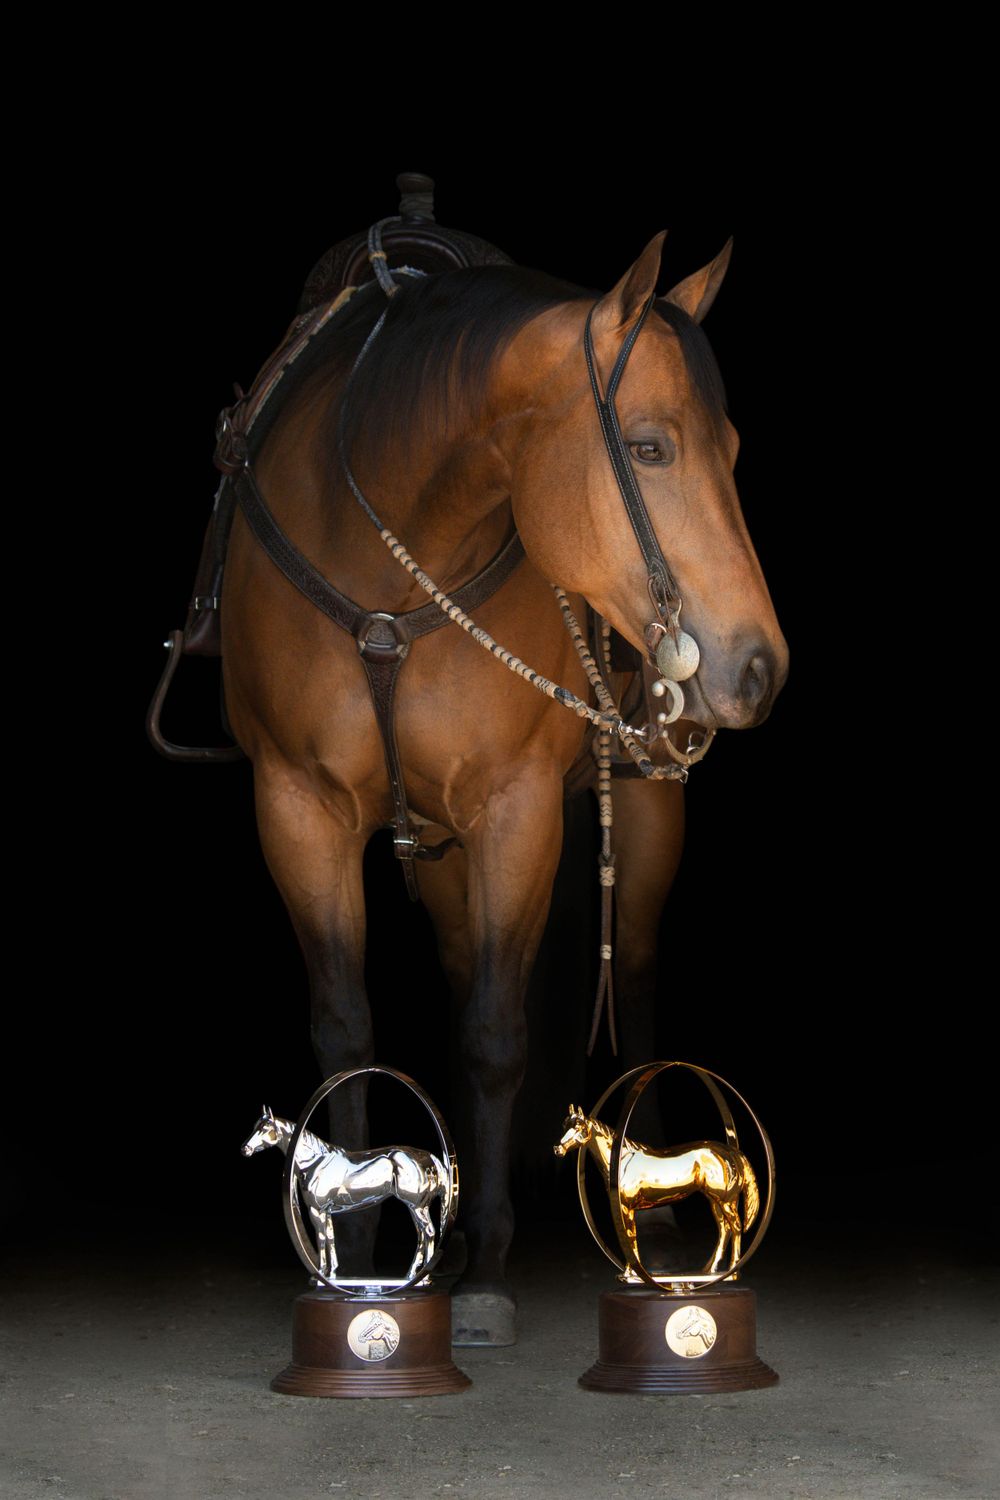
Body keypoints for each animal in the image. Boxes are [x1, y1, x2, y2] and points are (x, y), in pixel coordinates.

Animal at [241, 1105, 449, 1281]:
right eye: (254, 1126)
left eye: (266, 1128)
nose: (245, 1149)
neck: (316, 1162)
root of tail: (428, 1157)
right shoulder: (326, 1211)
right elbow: (331, 1238)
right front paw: (332, 1273)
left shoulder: (317, 1210)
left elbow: (321, 1238)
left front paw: (322, 1273)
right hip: (418, 1207)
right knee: (422, 1236)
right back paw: (412, 1274)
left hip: (416, 1206)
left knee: (428, 1233)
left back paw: (422, 1277)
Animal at [554, 1104, 759, 1275]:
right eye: (564, 1125)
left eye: (579, 1126)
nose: (558, 1149)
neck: (622, 1161)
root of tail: (731, 1152)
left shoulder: (627, 1209)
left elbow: (631, 1237)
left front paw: (630, 1273)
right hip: (715, 1201)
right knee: (725, 1230)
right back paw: (711, 1270)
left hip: (725, 1201)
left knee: (736, 1227)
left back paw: (731, 1270)